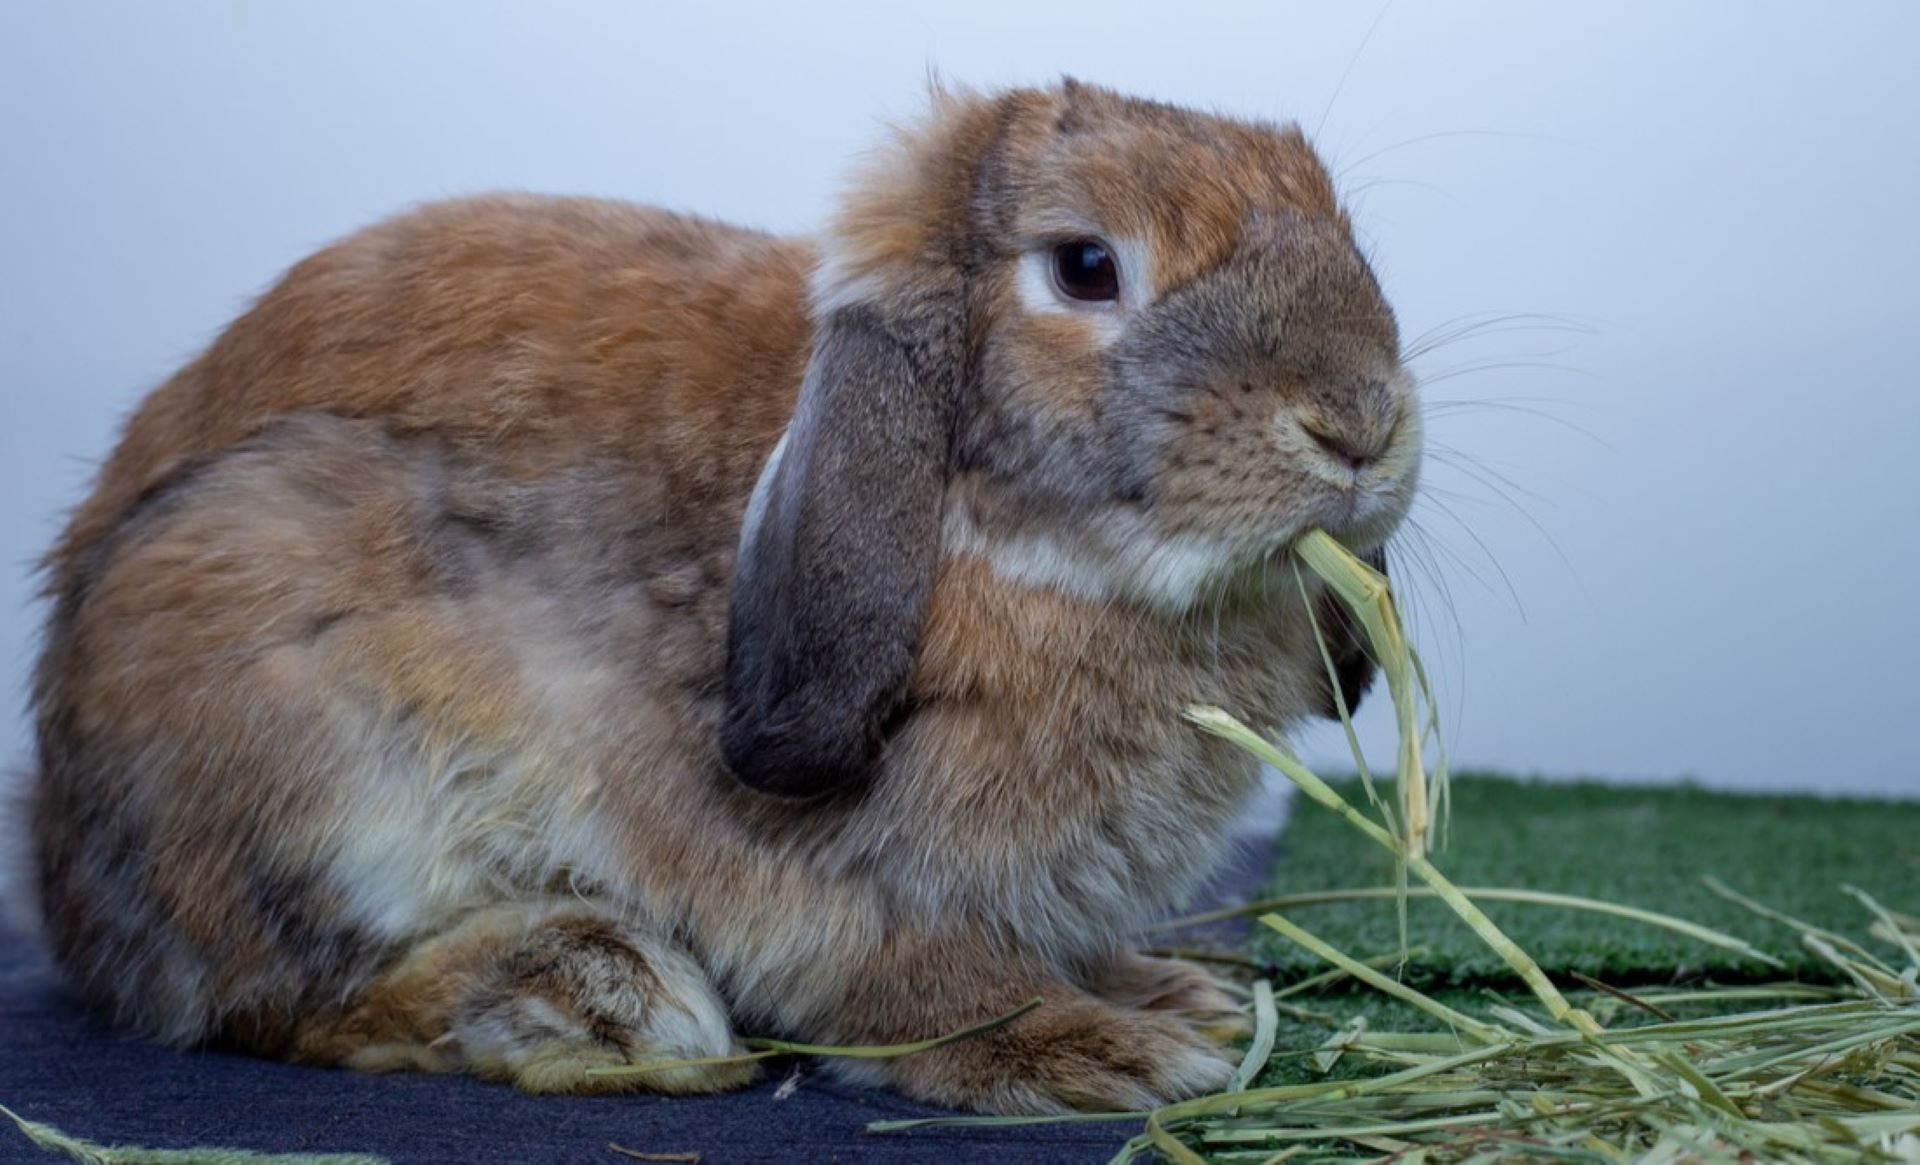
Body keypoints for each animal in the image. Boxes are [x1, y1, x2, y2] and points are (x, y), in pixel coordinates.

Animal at [22, 77, 1420, 1113]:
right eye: (1085, 266)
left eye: (1343, 229)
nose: (1359, 427)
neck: (985, 531)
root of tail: (63, 875)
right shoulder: (833, 887)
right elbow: (915, 981)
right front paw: (1099, 1048)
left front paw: (1171, 996)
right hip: (297, 728)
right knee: (283, 1002)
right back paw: (588, 993)